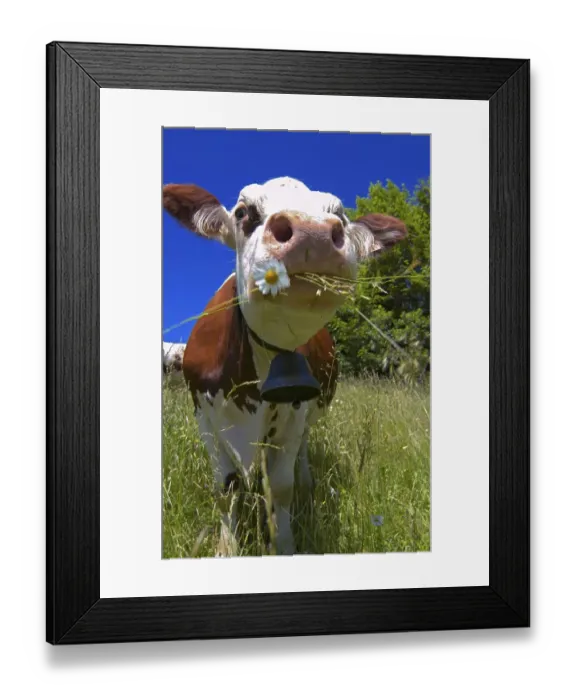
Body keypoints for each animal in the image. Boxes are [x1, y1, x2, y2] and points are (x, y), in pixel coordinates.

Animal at [162, 176, 407, 555]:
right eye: (243, 212)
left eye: (340, 214)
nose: (312, 233)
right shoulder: (204, 416)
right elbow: (226, 489)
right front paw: (226, 547)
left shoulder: (295, 413)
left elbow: (280, 487)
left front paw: (284, 544)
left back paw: (307, 480)